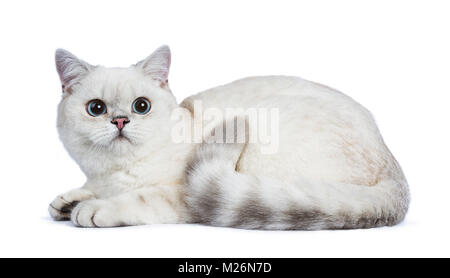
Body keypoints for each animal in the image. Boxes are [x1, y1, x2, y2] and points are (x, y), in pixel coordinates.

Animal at [48, 45, 408, 228]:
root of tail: (393, 170)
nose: (120, 121)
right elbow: (82, 192)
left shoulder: (182, 193)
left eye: (141, 106)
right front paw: (67, 202)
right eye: (96, 108)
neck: (112, 172)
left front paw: (91, 209)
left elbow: (137, 198)